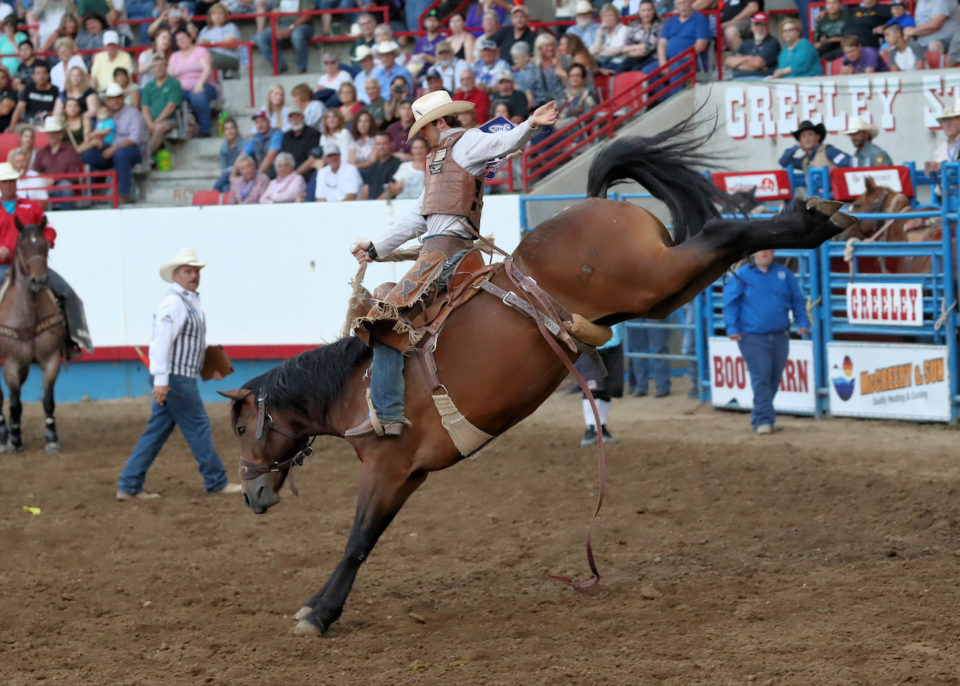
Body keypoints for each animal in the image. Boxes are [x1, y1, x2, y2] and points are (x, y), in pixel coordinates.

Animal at [0, 218, 64, 454]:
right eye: (23, 246)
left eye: (45, 245)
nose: (39, 280)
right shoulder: (10, 363)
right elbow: (15, 403)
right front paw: (15, 439)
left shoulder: (51, 359)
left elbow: (48, 400)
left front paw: (52, 438)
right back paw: (5, 435)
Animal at [221, 119, 852, 640]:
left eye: (244, 429)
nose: (250, 495)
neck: (356, 386)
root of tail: (593, 204)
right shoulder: (409, 477)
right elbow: (368, 538)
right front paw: (323, 608)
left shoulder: (387, 468)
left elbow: (357, 540)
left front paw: (317, 613)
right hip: (661, 291)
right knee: (719, 247)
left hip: (653, 276)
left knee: (725, 234)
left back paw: (814, 217)